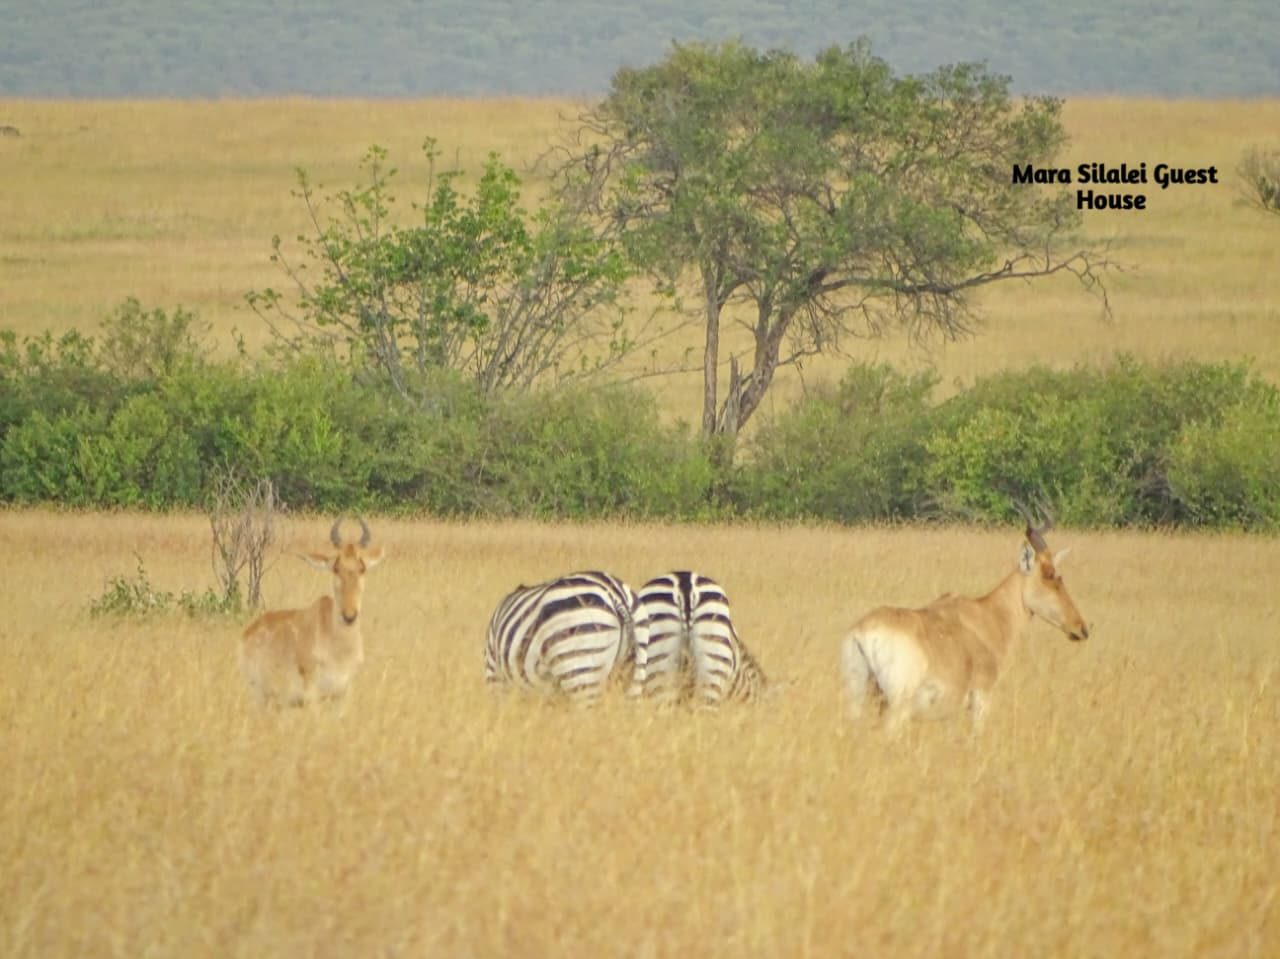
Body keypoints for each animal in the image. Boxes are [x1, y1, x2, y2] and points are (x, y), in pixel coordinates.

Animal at [240, 517, 386, 706]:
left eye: (362, 568)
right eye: (336, 567)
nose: (349, 616)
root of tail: (250, 631)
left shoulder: (342, 694)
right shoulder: (312, 696)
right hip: (259, 695)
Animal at [840, 514, 1088, 731]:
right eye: (1051, 574)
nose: (1081, 628)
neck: (986, 616)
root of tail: (863, 632)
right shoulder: (981, 699)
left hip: (858, 698)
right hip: (897, 707)